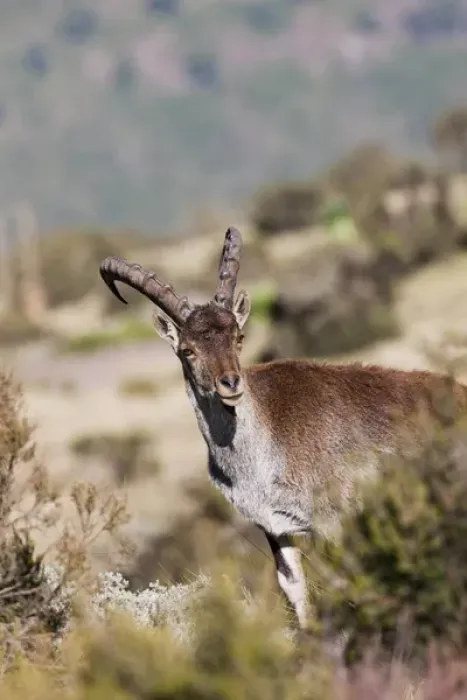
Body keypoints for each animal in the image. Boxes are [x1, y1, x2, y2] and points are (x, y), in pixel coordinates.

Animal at [99, 226, 467, 629]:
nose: (231, 383)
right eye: (188, 350)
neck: (261, 449)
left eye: (238, 338)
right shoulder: (276, 526)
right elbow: (293, 588)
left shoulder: (333, 519)